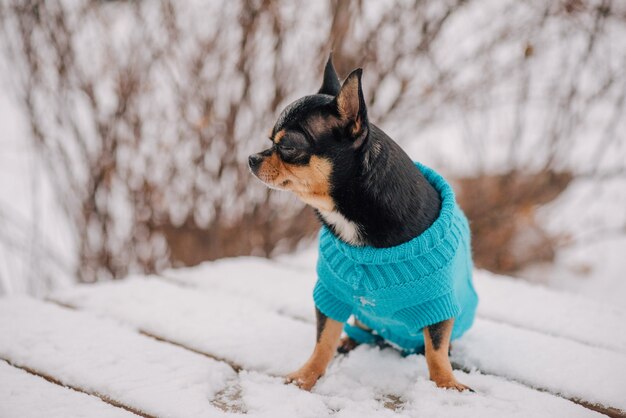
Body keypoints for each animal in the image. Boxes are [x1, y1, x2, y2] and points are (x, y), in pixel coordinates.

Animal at [246, 55, 476, 392]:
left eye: (287, 147)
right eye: (269, 141)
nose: (251, 158)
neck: (346, 213)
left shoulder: (438, 302)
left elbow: (435, 349)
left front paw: (446, 384)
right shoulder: (331, 293)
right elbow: (323, 341)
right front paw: (305, 377)